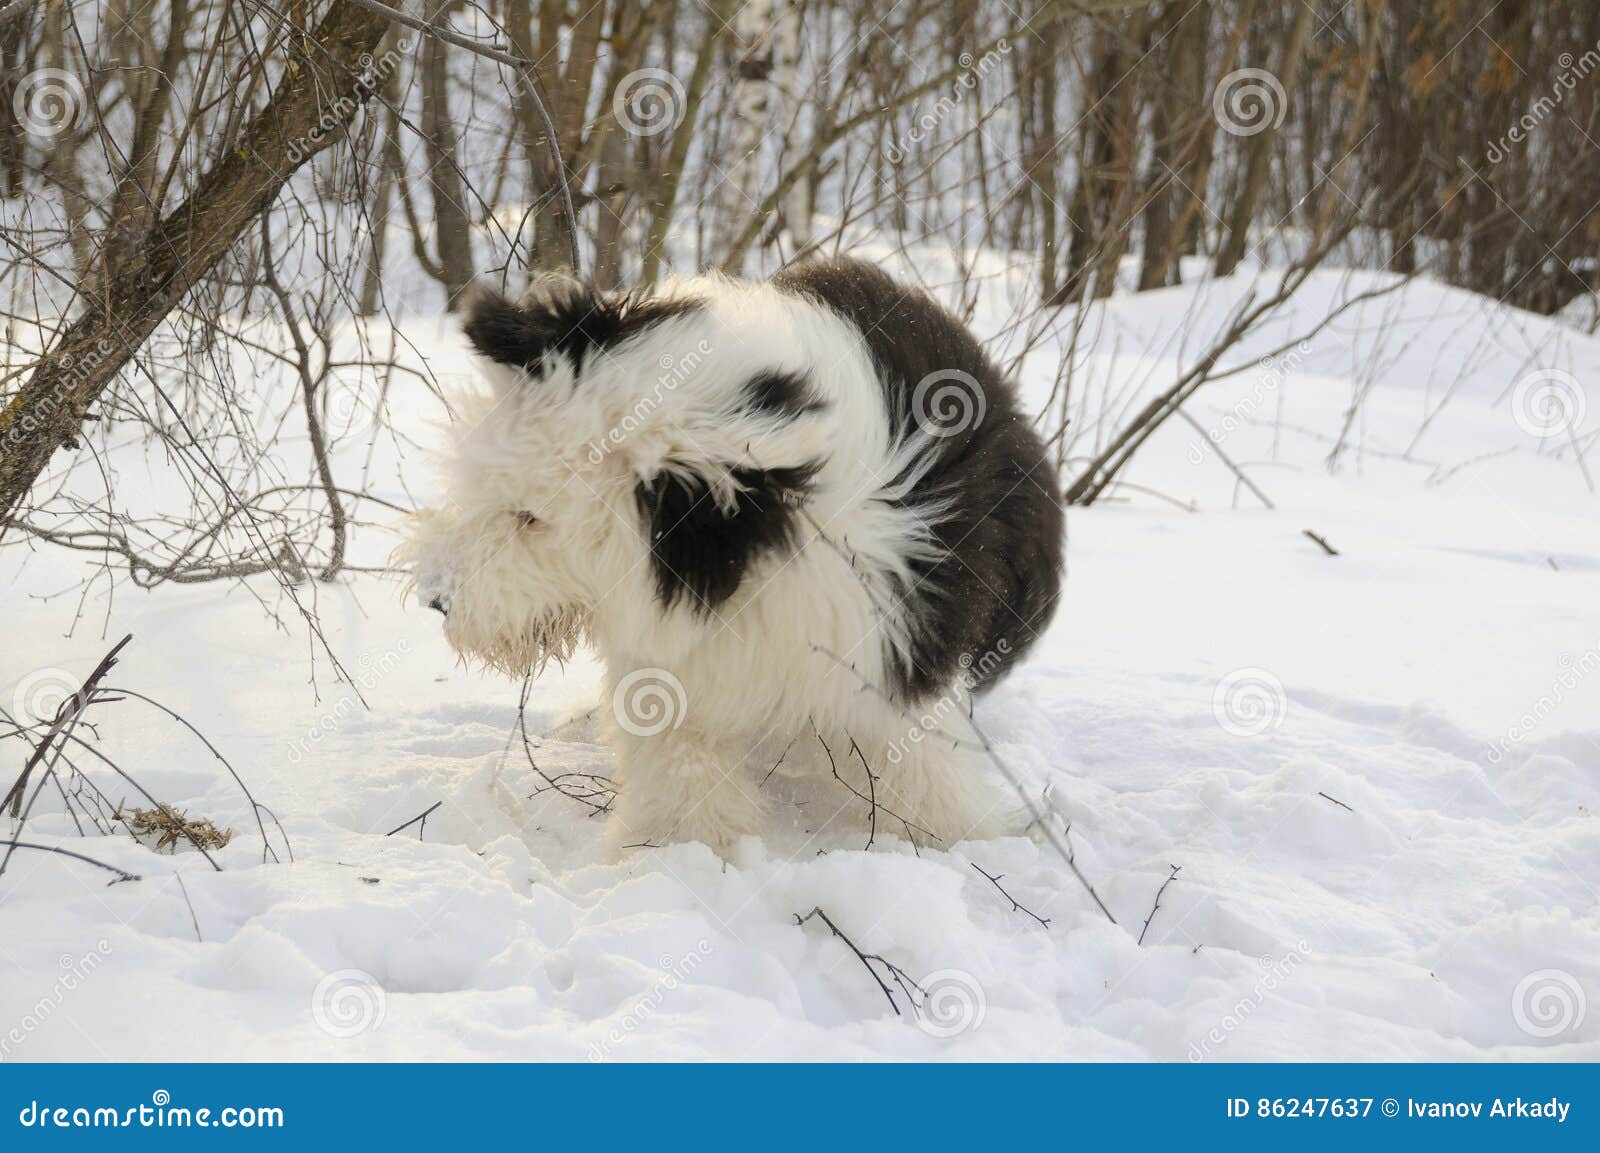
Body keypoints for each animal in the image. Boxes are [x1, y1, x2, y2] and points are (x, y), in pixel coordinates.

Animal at [403, 263, 1062, 857]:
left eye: (530, 516)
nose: (436, 597)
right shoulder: (680, 661)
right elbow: (681, 762)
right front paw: (677, 856)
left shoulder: (896, 637)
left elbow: (920, 765)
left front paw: (956, 845)